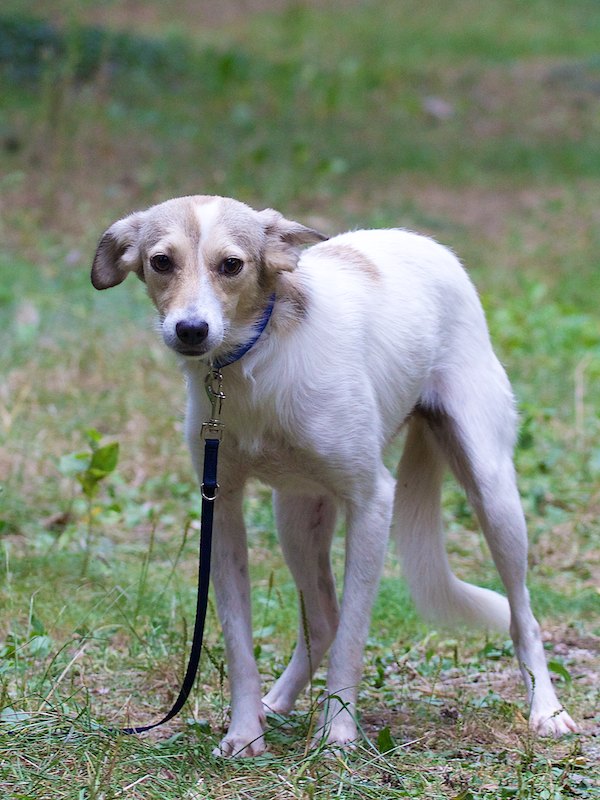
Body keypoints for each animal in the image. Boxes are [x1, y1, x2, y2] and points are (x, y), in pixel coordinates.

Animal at [91, 195, 576, 756]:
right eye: (161, 261)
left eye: (231, 265)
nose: (192, 330)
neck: (257, 361)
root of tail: (423, 242)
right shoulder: (222, 507)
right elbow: (241, 641)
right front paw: (245, 731)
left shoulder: (372, 501)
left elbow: (353, 637)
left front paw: (339, 732)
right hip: (296, 515)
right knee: (322, 622)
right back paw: (275, 702)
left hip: (494, 493)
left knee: (523, 616)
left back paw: (547, 710)